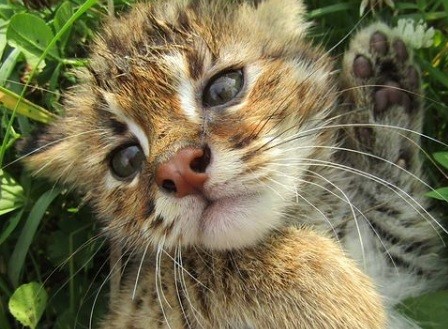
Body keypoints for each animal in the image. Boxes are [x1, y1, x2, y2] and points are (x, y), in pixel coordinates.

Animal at [20, 0, 444, 326]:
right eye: (126, 160)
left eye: (223, 88)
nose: (179, 170)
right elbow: (205, 264)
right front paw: (346, 299)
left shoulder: (405, 267)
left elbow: (400, 212)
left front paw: (383, 98)